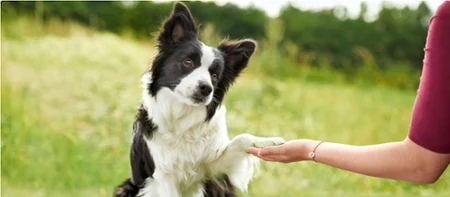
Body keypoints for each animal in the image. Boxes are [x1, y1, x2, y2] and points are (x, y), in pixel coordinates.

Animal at [115, 1, 284, 197]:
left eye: (215, 76)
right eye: (188, 62)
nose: (206, 89)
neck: (183, 116)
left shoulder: (212, 168)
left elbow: (242, 138)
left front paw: (268, 142)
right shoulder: (162, 177)